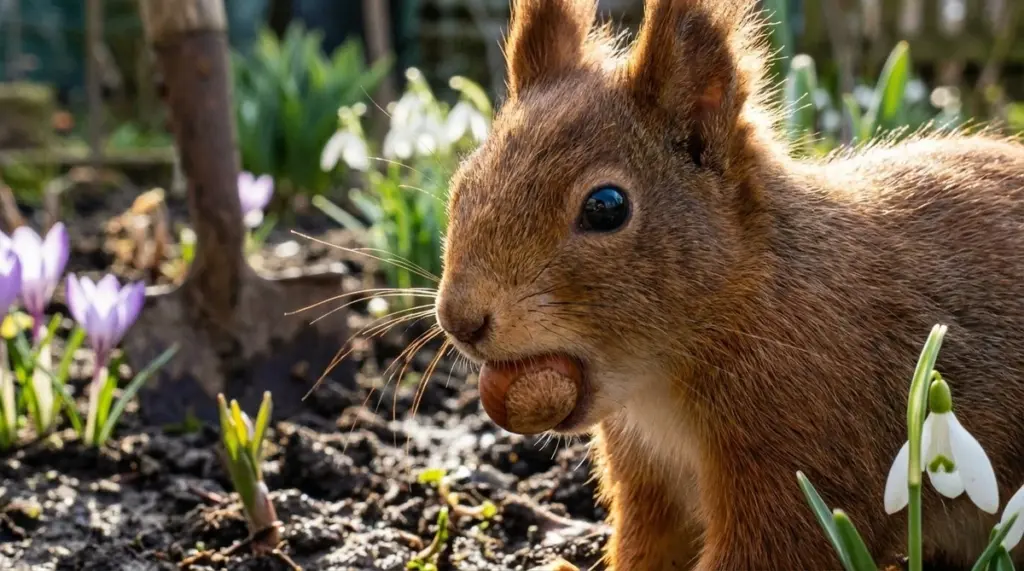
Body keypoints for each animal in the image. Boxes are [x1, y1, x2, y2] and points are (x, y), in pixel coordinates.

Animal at [434, 0, 1024, 569]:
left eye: (606, 207)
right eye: (462, 184)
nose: (459, 320)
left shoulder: (806, 444)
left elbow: (777, 548)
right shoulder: (648, 479)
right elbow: (646, 547)